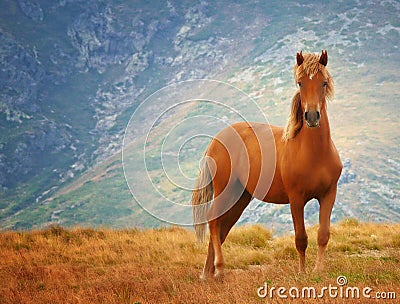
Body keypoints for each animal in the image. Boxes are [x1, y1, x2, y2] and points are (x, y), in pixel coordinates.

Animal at [192, 50, 342, 280]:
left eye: (323, 83)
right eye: (300, 83)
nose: (312, 116)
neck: (315, 154)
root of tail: (217, 139)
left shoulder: (328, 194)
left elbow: (323, 235)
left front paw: (319, 270)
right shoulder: (296, 199)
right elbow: (301, 238)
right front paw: (302, 272)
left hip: (239, 197)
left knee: (222, 229)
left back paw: (208, 275)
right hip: (225, 191)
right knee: (214, 221)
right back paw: (219, 268)